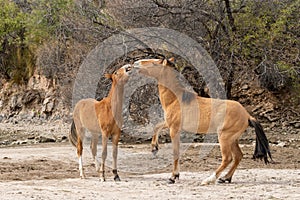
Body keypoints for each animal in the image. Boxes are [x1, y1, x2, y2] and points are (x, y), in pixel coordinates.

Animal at [134, 57, 272, 184]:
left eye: (154, 63)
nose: (135, 63)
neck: (176, 99)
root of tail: (247, 116)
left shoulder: (174, 129)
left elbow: (175, 152)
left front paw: (173, 177)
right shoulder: (169, 124)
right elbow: (157, 126)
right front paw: (154, 148)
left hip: (224, 138)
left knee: (227, 158)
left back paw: (209, 179)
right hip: (233, 139)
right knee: (238, 156)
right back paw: (225, 178)